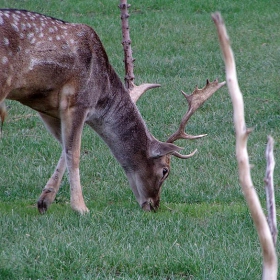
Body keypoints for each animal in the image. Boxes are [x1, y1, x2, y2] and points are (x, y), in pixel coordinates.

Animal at [0, 9, 224, 214]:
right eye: (165, 171)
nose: (154, 205)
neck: (101, 89)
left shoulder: (48, 108)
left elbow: (64, 147)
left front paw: (44, 201)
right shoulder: (78, 101)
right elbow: (74, 152)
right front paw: (81, 207)